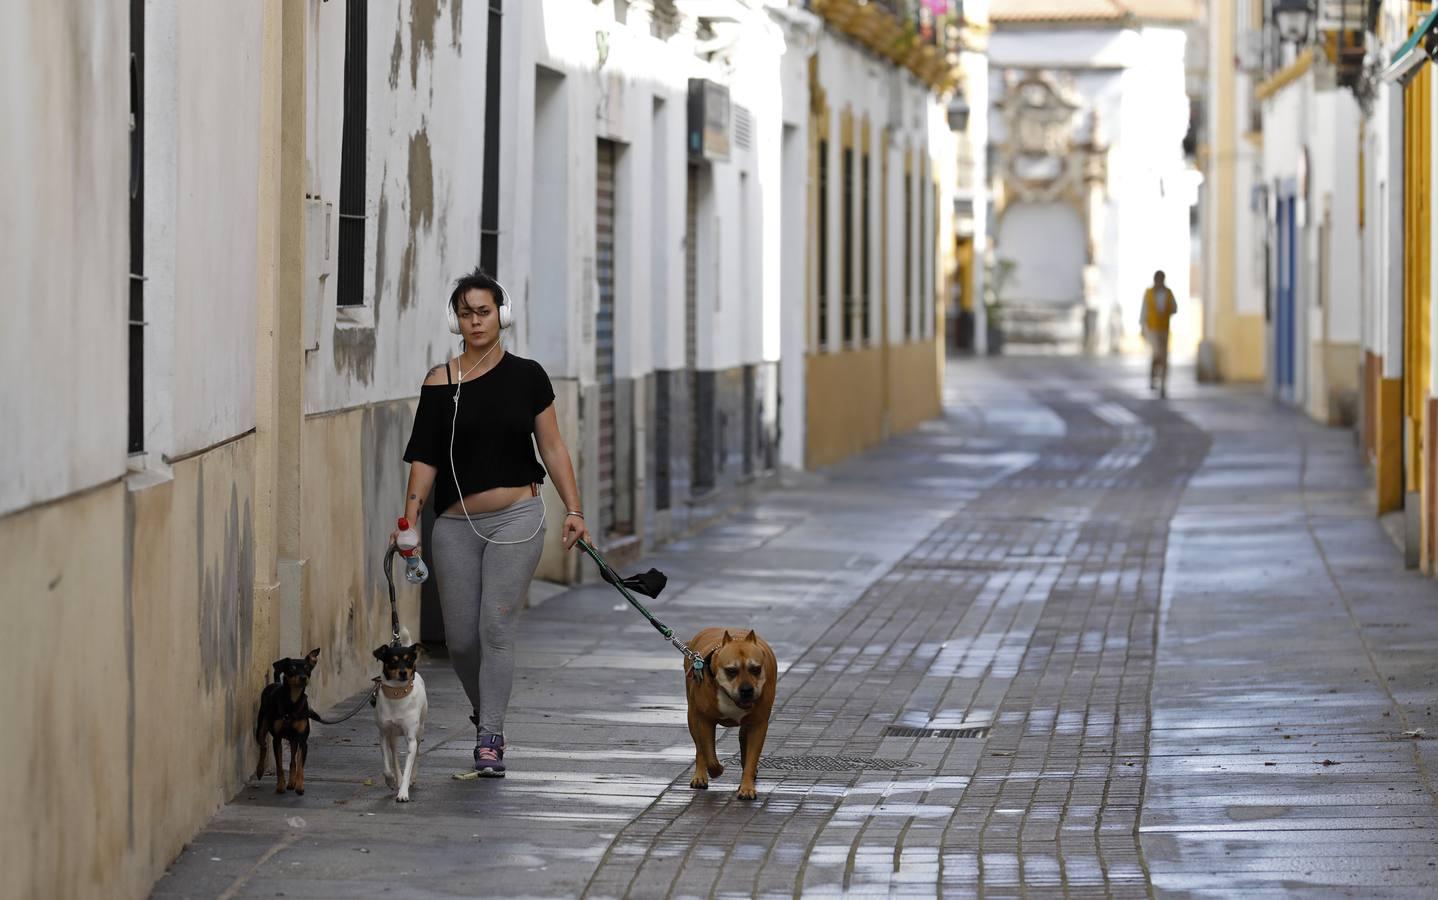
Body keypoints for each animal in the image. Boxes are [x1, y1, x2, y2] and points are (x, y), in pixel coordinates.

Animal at [255, 644, 320, 793]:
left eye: (307, 668)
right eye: (292, 668)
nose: (303, 678)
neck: (292, 702)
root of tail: (275, 683)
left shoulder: (302, 740)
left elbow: (299, 764)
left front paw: (299, 785)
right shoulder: (277, 739)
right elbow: (279, 766)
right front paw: (280, 785)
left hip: (293, 740)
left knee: (292, 761)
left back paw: (292, 782)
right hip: (261, 726)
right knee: (263, 745)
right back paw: (260, 770)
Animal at [371, 629, 425, 799]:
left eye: (409, 660)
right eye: (393, 661)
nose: (403, 673)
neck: (397, 693)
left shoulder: (411, 739)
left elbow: (409, 765)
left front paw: (403, 792)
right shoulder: (382, 735)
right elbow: (387, 767)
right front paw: (391, 781)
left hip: (420, 731)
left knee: (418, 753)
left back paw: (412, 778)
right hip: (392, 736)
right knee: (394, 755)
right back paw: (397, 778)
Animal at [681, 626, 776, 793]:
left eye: (756, 669)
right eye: (731, 671)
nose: (747, 690)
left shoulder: (758, 725)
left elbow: (752, 756)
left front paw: (747, 788)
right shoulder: (705, 721)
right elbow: (709, 755)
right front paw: (717, 770)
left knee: (743, 741)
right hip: (692, 716)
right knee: (699, 749)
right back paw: (700, 776)